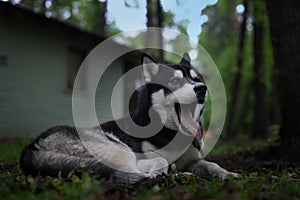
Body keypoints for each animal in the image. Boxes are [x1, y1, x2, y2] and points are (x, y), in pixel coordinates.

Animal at [19, 52, 239, 183]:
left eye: (196, 79)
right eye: (174, 81)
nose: (202, 88)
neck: (169, 133)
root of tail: (32, 148)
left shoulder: (194, 159)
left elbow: (211, 164)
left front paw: (228, 173)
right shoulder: (144, 156)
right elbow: (162, 162)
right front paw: (175, 172)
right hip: (118, 149)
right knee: (140, 173)